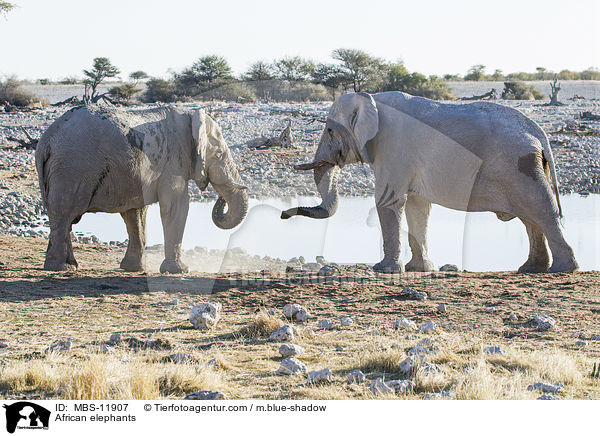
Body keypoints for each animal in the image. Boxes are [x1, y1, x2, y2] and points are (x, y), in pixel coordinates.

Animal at [35, 105, 247, 272]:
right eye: (219, 154)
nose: (219, 197)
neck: (188, 115)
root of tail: (47, 140)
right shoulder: (172, 163)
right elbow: (176, 206)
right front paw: (179, 271)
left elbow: (134, 213)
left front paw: (134, 269)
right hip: (71, 169)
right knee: (64, 215)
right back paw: (62, 268)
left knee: (61, 217)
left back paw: (68, 265)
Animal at [284, 92, 580, 272]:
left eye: (329, 130)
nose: (284, 215)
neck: (371, 98)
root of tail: (538, 132)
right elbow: (418, 205)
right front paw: (419, 270)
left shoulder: (395, 148)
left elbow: (389, 201)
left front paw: (384, 270)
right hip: (524, 168)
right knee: (531, 217)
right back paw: (531, 269)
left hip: (519, 167)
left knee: (540, 211)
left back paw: (563, 269)